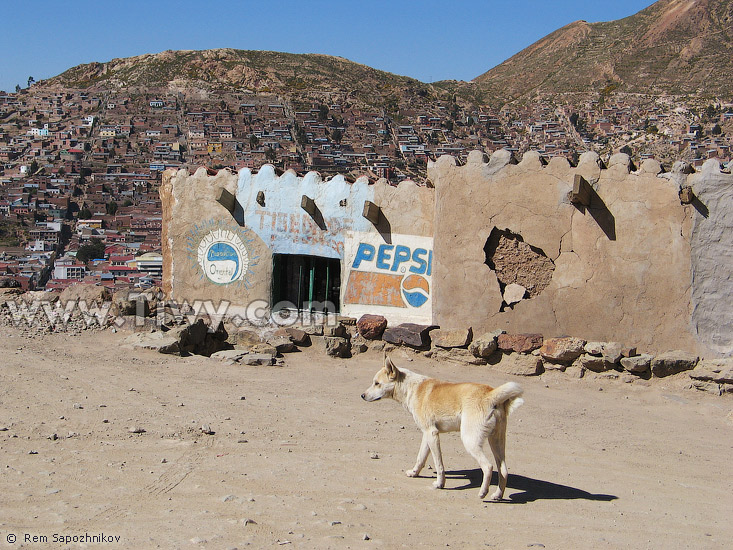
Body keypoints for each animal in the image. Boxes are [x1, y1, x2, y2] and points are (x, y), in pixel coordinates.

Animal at [362, 356, 524, 502]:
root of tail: (490, 394)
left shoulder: (432, 434)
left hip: (470, 441)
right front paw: (414, 473)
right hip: (496, 442)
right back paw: (497, 495)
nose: (362, 395)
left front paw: (440, 484)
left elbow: (438, 464)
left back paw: (483, 493)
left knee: (488, 467)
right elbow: (421, 457)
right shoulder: (427, 434)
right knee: (503, 470)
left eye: (377, 383)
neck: (411, 388)